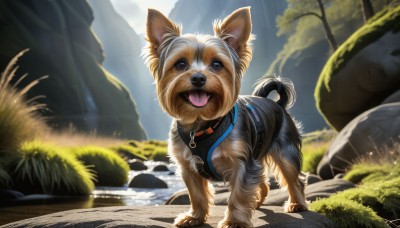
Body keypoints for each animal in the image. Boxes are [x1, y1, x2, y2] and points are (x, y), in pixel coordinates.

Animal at [144, 6, 310, 226]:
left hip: (285, 149)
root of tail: (278, 104)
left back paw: (297, 204)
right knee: (263, 182)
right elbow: (196, 194)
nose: (198, 78)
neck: (201, 123)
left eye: (217, 64)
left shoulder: (242, 162)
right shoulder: (189, 166)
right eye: (180, 64)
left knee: (293, 177)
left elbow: (239, 193)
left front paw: (235, 221)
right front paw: (194, 217)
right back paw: (257, 203)